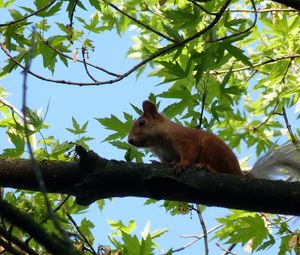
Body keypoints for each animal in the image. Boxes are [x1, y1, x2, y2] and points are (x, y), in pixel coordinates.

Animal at [127, 99, 300, 179]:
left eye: (142, 122)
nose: (129, 140)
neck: (159, 142)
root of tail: (239, 173)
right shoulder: (163, 154)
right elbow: (165, 161)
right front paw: (160, 163)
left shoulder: (185, 138)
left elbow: (189, 151)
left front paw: (182, 164)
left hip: (212, 148)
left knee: (222, 170)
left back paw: (205, 167)